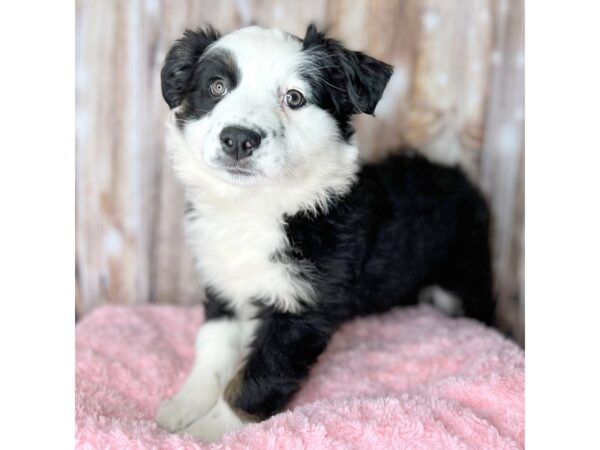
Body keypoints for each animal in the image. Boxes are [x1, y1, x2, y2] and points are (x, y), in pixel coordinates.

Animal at [154, 22, 492, 442]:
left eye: (294, 98)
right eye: (217, 87)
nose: (238, 138)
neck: (257, 205)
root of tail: (454, 172)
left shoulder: (303, 306)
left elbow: (261, 372)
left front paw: (213, 429)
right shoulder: (223, 283)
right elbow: (213, 347)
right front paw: (185, 404)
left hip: (468, 273)